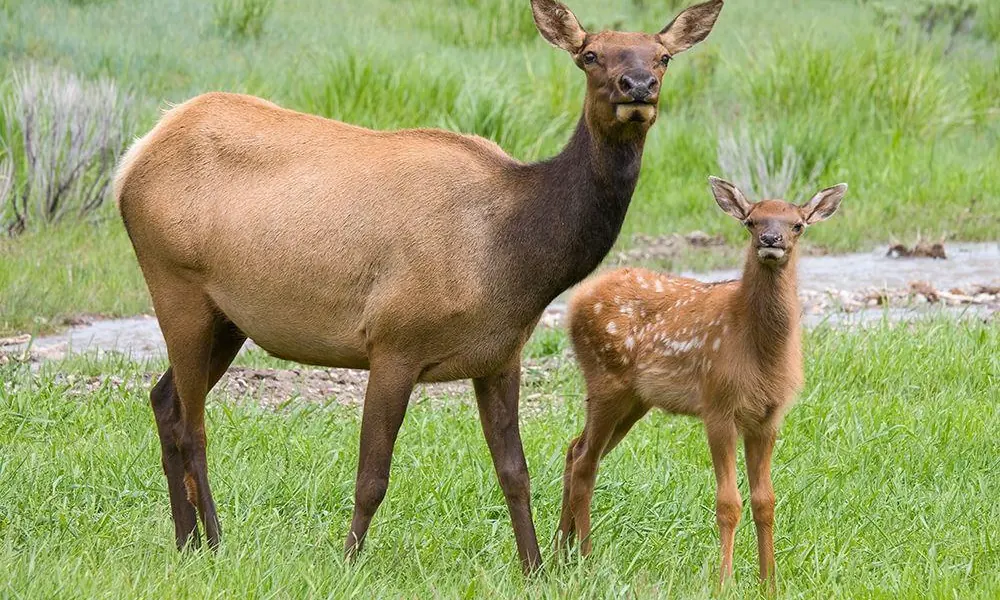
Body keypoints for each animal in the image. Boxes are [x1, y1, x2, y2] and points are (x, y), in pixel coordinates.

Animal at [112, 0, 725, 574]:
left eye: (662, 57)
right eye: (590, 54)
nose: (637, 86)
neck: (515, 259)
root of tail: (133, 157)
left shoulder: (501, 355)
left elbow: (515, 471)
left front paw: (534, 569)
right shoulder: (393, 341)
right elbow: (372, 476)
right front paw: (348, 563)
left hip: (228, 317)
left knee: (164, 400)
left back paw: (186, 543)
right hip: (176, 284)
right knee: (194, 425)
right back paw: (213, 544)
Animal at [557, 177, 848, 587]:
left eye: (798, 225)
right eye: (751, 221)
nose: (770, 239)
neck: (759, 350)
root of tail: (576, 301)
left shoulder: (768, 418)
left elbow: (765, 500)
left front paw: (769, 581)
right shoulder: (718, 406)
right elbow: (728, 502)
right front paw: (725, 580)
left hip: (634, 401)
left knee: (574, 448)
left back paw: (559, 555)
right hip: (605, 380)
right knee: (585, 462)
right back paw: (586, 559)